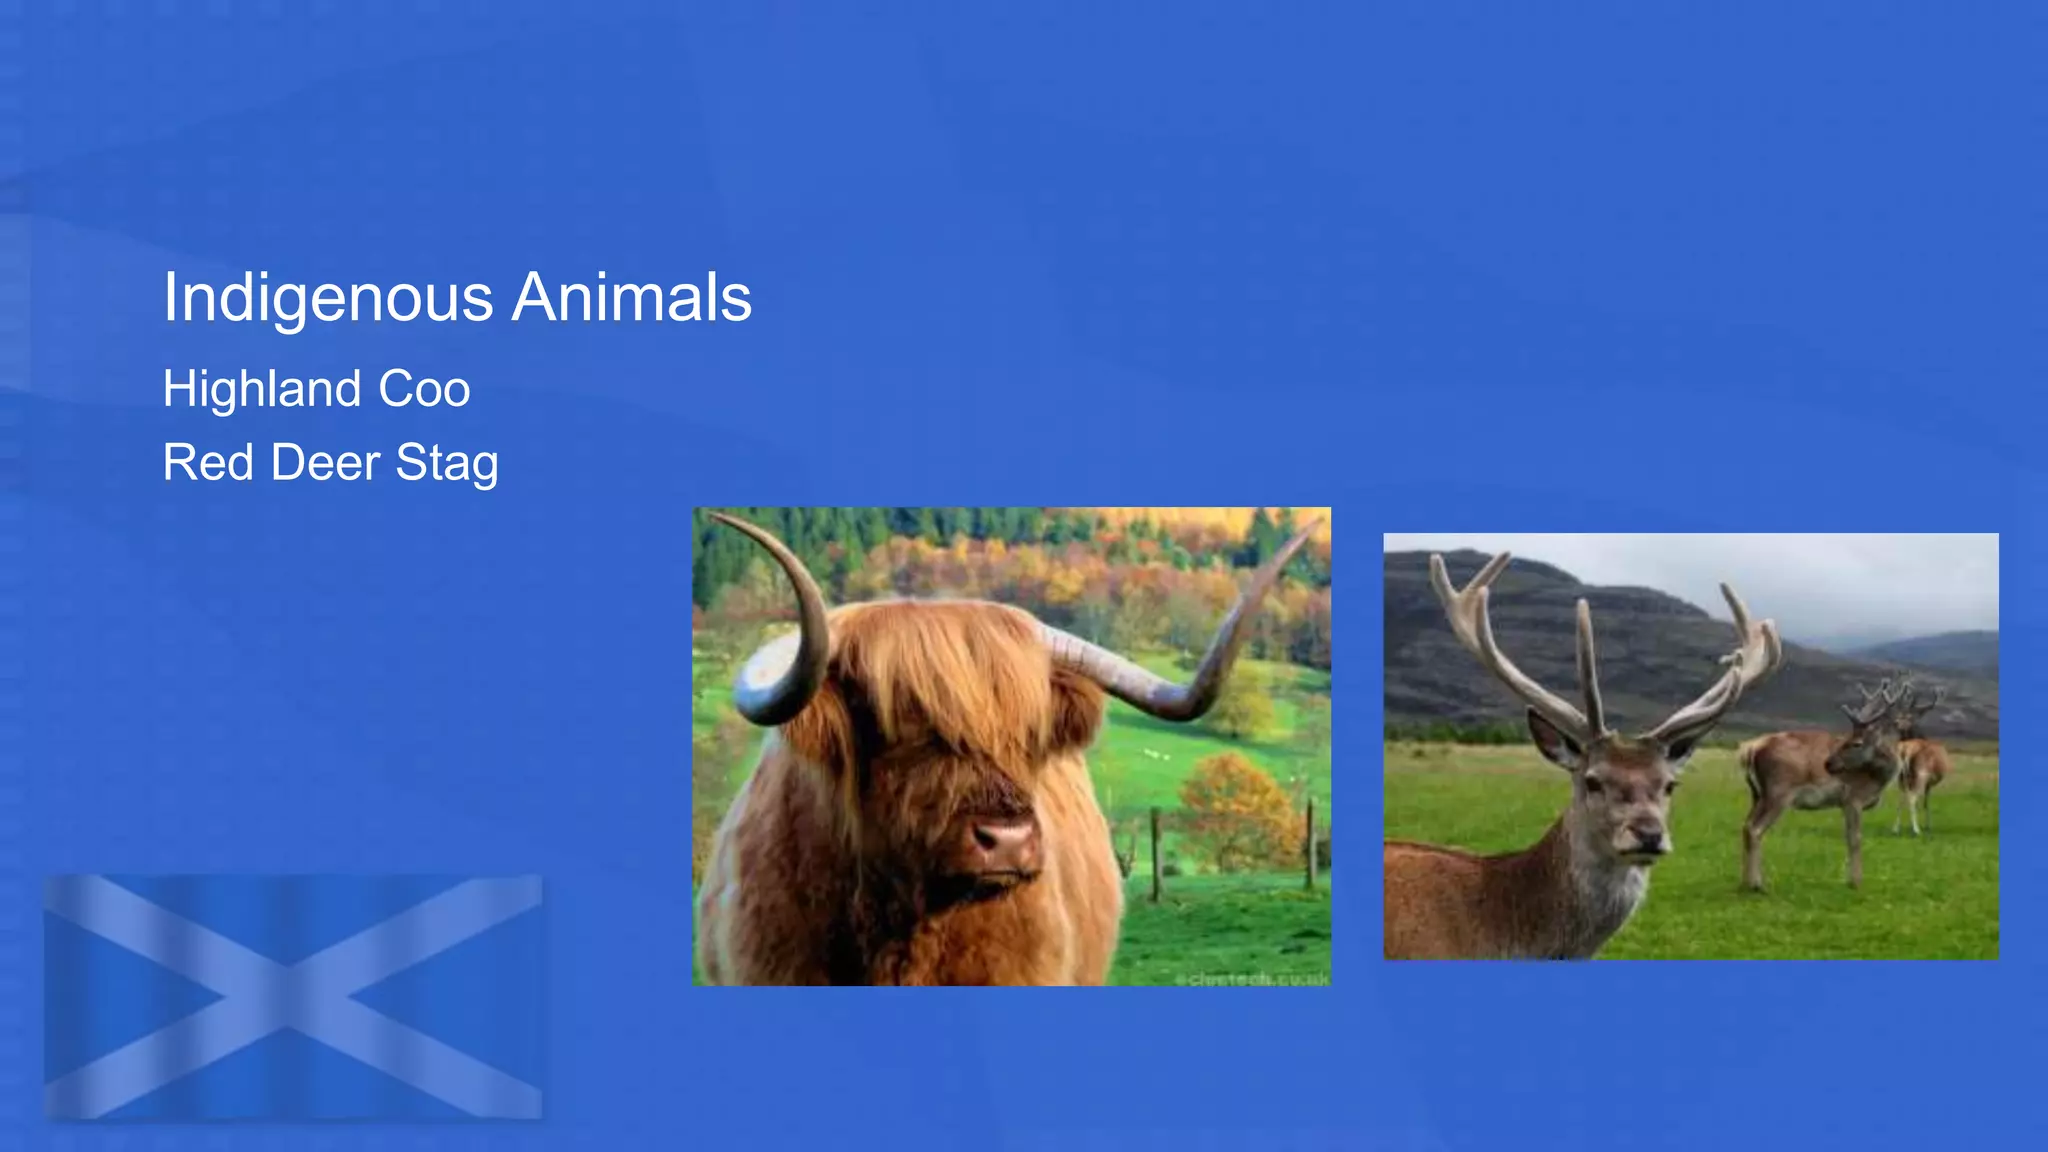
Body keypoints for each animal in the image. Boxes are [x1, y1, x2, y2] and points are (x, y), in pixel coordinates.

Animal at [1735, 678, 1907, 891]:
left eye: (1856, 743)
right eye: (1847, 739)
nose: (1828, 763)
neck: (1877, 779)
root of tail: (1750, 750)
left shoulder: (1845, 803)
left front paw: (1852, 879)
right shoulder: (1852, 799)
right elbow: (1855, 839)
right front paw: (1856, 882)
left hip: (1757, 794)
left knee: (1746, 826)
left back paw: (1746, 883)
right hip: (1778, 792)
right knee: (1755, 829)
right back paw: (1757, 885)